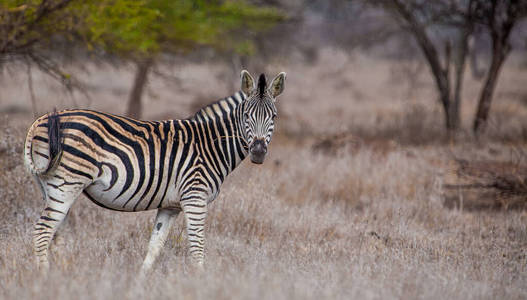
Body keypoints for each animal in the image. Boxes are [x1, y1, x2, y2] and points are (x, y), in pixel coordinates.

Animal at [23, 69, 288, 272]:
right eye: (247, 115)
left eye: (274, 116)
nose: (258, 151)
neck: (211, 145)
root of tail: (41, 120)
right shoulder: (195, 198)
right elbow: (197, 248)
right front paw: (201, 284)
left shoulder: (170, 207)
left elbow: (154, 248)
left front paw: (140, 284)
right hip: (66, 183)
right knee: (42, 233)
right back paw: (46, 279)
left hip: (50, 185)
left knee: (54, 235)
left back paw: (63, 276)